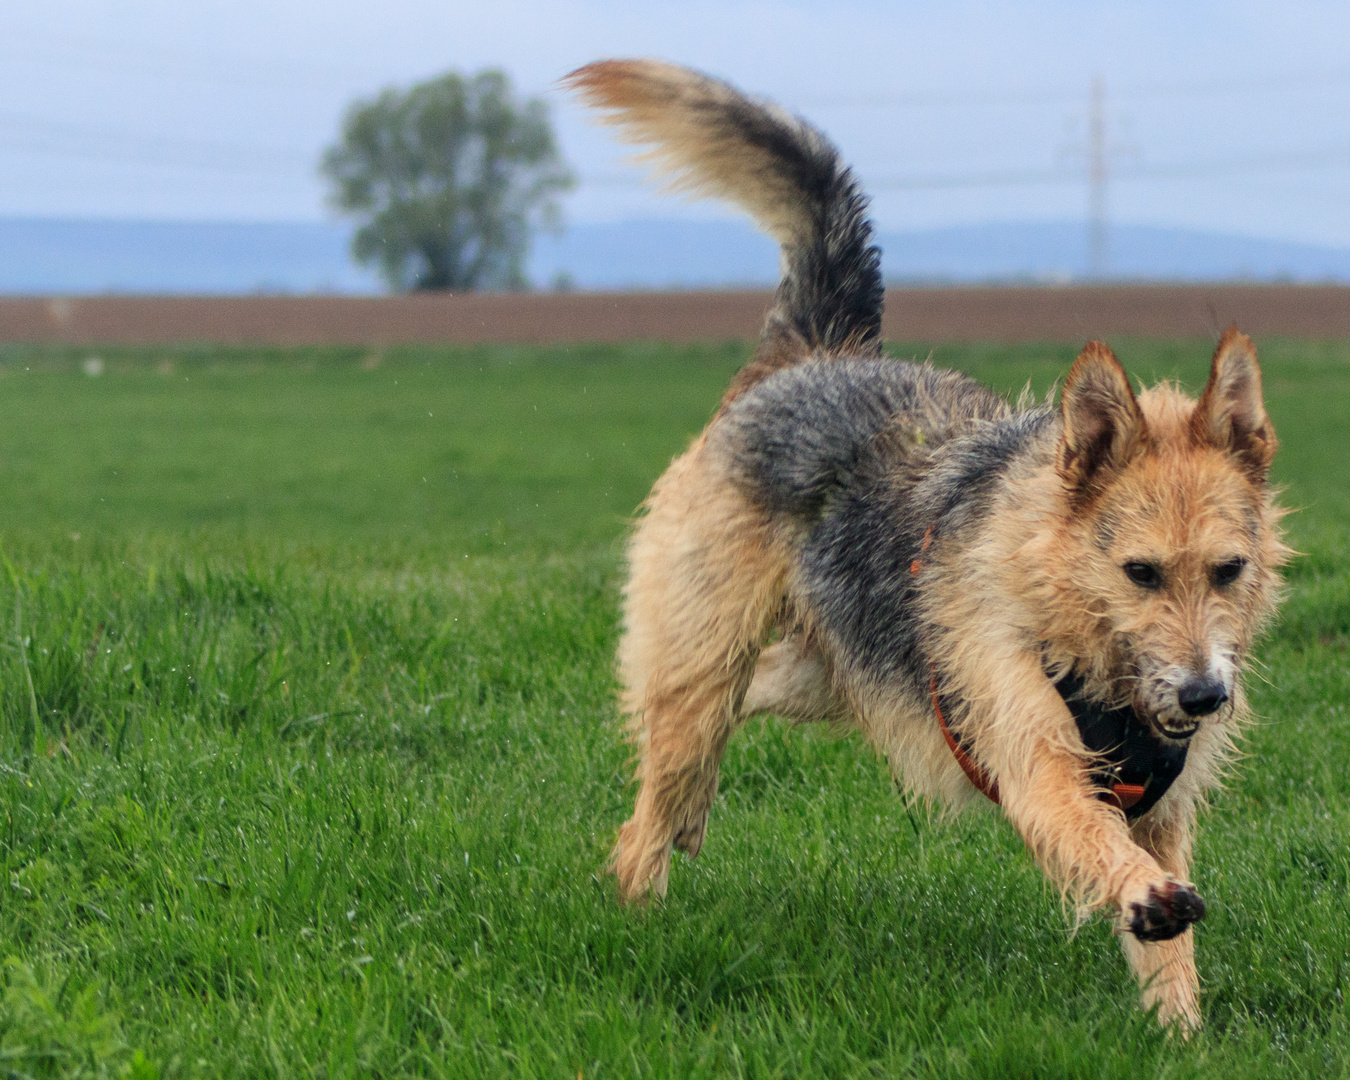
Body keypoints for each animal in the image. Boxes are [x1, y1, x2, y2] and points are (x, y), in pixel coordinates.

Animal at [564, 59, 1279, 1031]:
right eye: (1140, 573)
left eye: (1228, 570)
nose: (1207, 695)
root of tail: (812, 355)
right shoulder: (1033, 756)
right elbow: (1099, 843)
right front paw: (1141, 895)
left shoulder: (1162, 806)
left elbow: (1170, 947)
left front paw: (1181, 1032)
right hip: (706, 653)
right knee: (657, 780)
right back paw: (642, 897)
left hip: (831, 668)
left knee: (738, 703)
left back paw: (693, 812)